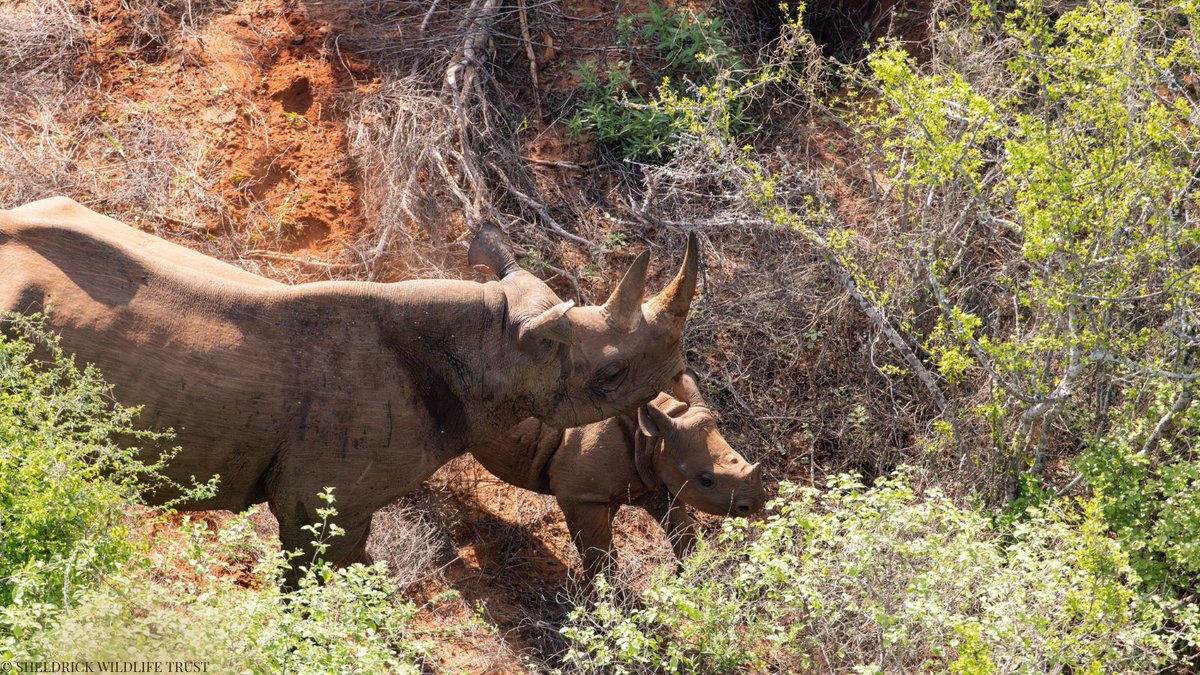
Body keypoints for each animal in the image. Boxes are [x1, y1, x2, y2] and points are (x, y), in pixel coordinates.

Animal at [0, 197, 698, 584]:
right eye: (610, 376)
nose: (678, 371)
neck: (498, 344)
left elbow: (359, 575)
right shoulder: (319, 502)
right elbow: (311, 589)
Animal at [468, 369, 764, 579]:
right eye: (706, 481)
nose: (756, 503)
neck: (653, 438)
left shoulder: (653, 482)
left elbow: (683, 532)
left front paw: (689, 581)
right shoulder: (582, 495)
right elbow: (600, 557)